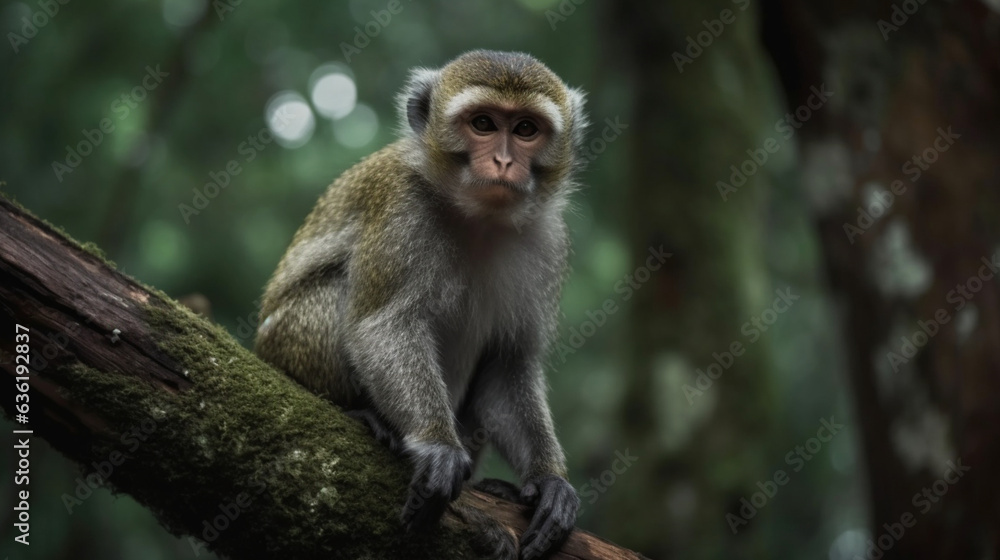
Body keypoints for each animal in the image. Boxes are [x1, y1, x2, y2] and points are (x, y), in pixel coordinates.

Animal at [255, 50, 587, 560]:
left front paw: (548, 479)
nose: (504, 160)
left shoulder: (548, 238)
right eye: (484, 123)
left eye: (526, 129)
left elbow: (506, 363)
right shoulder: (401, 210)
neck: (478, 219)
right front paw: (437, 446)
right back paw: (361, 414)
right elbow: (383, 325)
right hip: (281, 345)